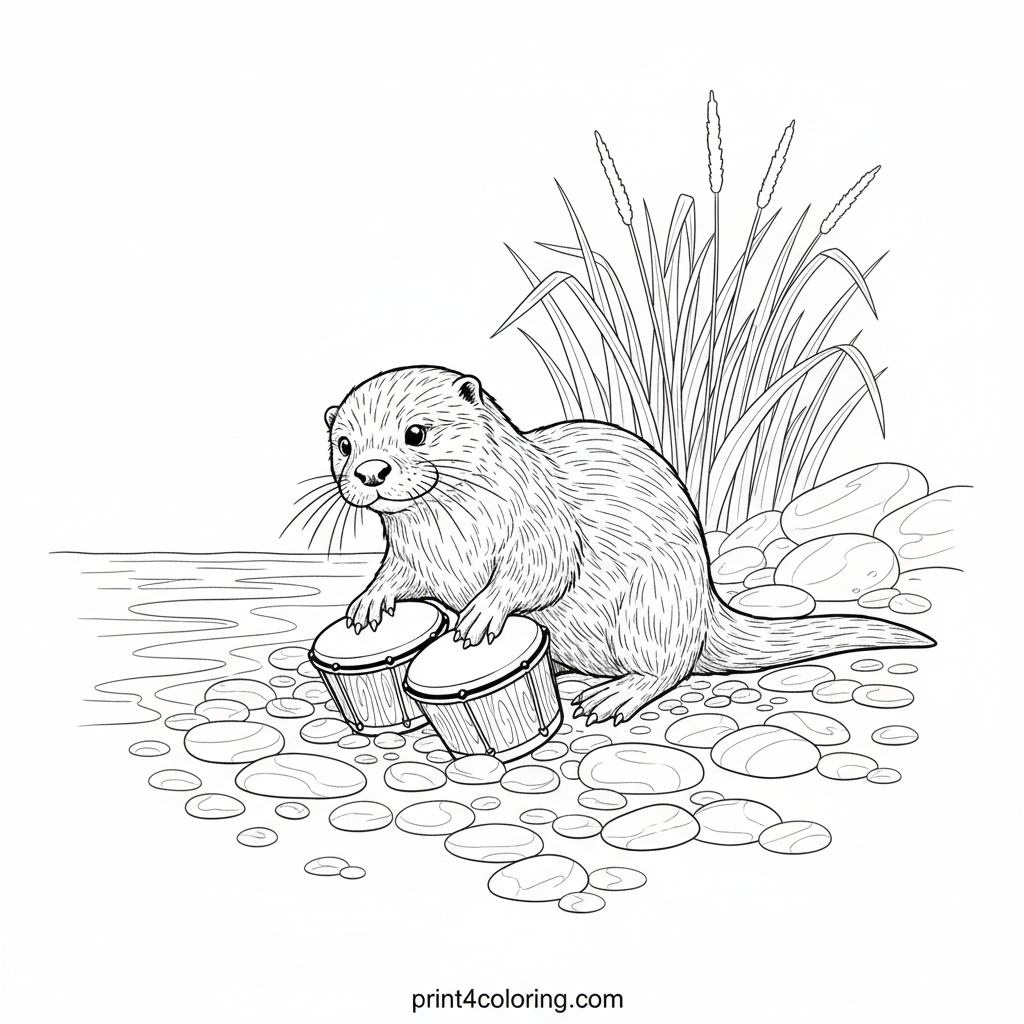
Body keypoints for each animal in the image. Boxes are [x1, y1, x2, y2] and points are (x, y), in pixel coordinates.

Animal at [324, 365, 933, 724]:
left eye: (416, 433)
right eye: (344, 444)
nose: (370, 472)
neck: (457, 537)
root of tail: (706, 606)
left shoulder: (544, 526)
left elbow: (542, 574)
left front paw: (481, 615)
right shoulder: (414, 554)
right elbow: (396, 576)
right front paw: (368, 603)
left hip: (651, 604)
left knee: (670, 667)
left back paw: (612, 697)